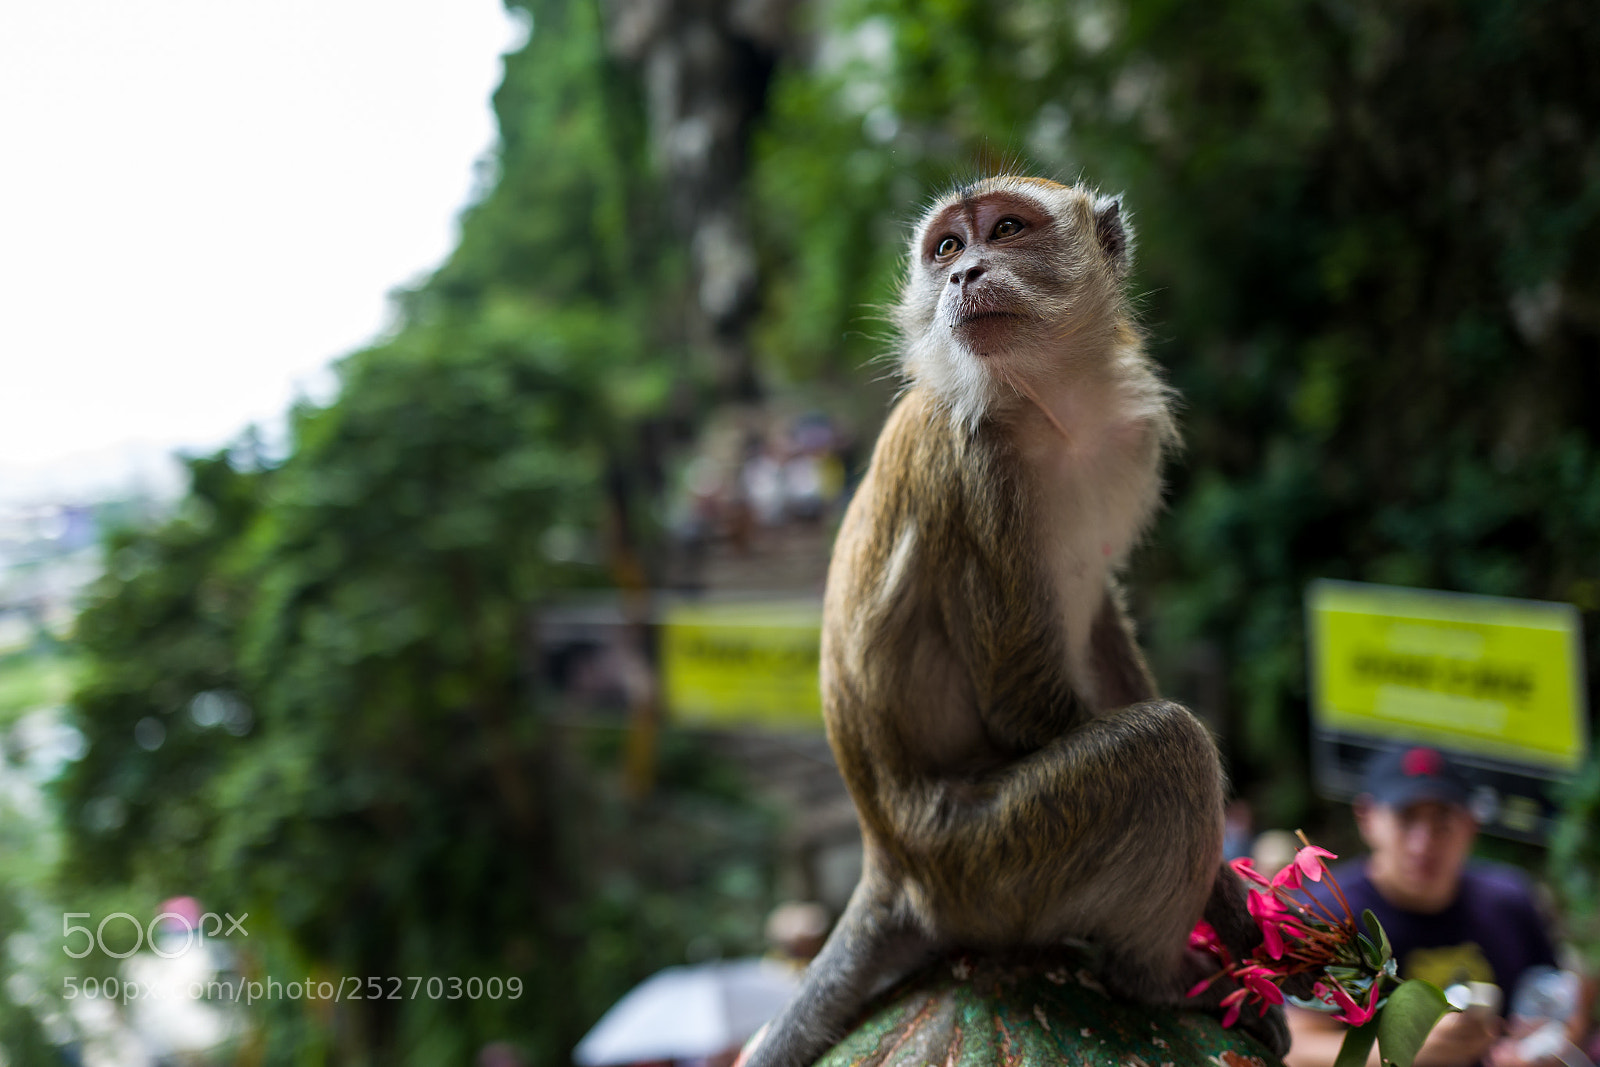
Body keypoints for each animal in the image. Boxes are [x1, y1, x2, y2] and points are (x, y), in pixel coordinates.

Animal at [743, 176, 1288, 1067]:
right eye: (946, 248)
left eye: (1004, 229)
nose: (966, 273)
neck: (1049, 406)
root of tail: (889, 860)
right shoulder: (975, 472)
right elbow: (1022, 700)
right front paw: (1224, 900)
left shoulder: (1125, 440)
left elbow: (1096, 620)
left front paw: (1239, 907)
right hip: (988, 865)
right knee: (1164, 749)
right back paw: (1155, 979)